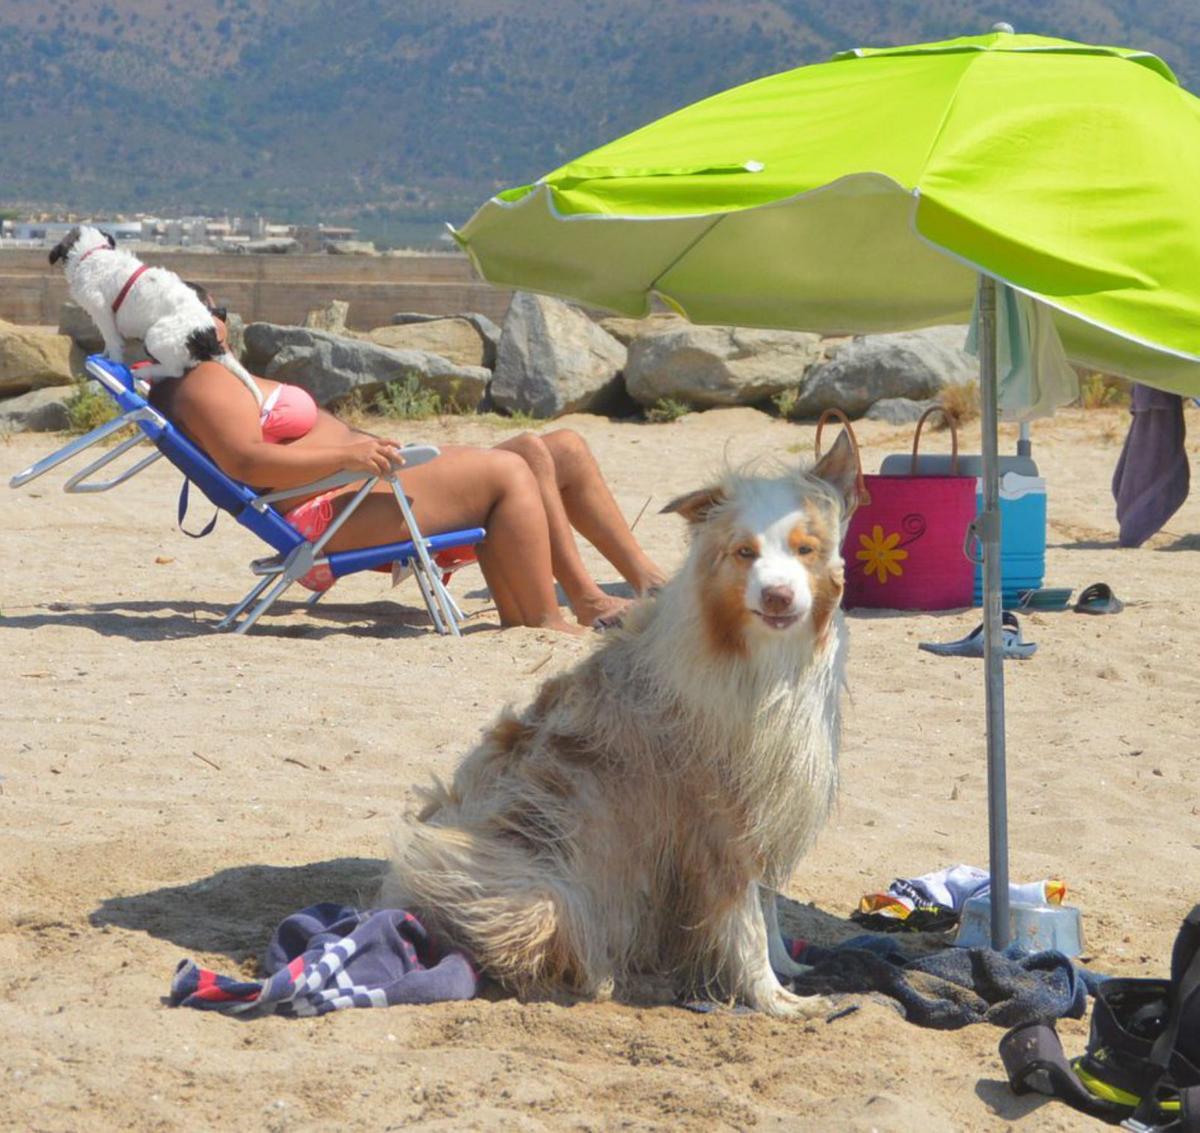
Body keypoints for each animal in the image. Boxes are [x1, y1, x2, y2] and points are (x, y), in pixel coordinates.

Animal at [48, 224, 262, 403]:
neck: (93, 253)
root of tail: (206, 334)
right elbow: (108, 342)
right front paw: (104, 355)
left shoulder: (102, 312)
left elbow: (112, 341)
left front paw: (112, 364)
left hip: (155, 337)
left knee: (175, 371)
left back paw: (144, 372)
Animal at [384, 436, 864, 1017]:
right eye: (744, 552)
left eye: (805, 549)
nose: (777, 596)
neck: (764, 666)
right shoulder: (719, 828)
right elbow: (746, 925)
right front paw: (775, 1000)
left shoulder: (769, 808)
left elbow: (768, 912)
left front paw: (791, 969)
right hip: (541, 895)